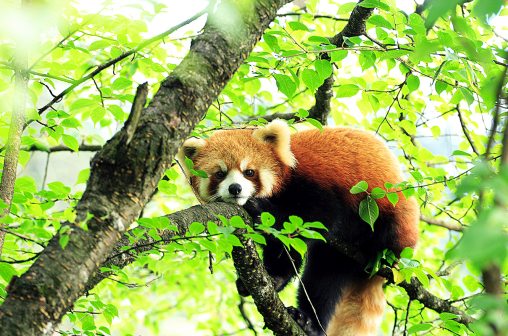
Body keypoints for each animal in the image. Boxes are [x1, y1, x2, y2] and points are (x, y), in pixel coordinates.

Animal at [177, 121, 418, 336]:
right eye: (219, 174)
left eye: (249, 172)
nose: (235, 189)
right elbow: (284, 247)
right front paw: (274, 277)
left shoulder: (316, 184)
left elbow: (318, 218)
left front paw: (260, 209)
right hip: (337, 255)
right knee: (323, 278)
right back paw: (308, 322)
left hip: (392, 217)